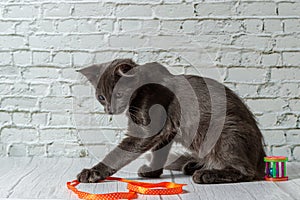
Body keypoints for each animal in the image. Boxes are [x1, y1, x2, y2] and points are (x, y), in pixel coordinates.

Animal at [77, 58, 264, 184]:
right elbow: (159, 152)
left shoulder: (147, 129)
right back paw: (194, 165)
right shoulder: (167, 131)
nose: (109, 109)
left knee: (245, 170)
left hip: (225, 130)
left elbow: (119, 154)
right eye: (101, 97)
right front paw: (152, 172)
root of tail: (261, 158)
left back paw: (206, 174)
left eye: (119, 94)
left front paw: (92, 172)